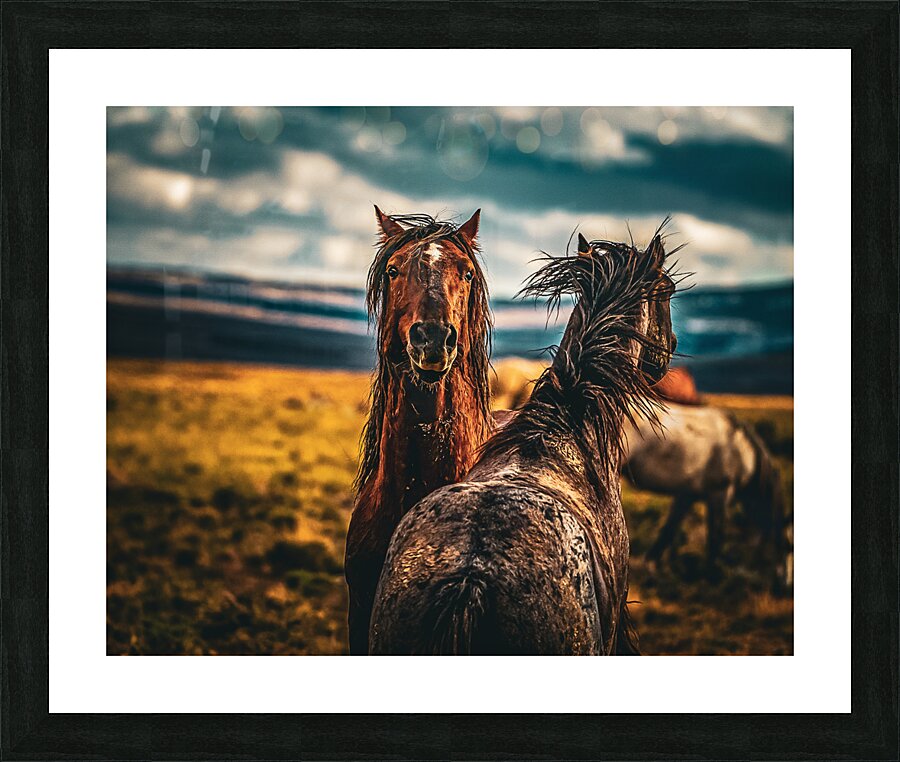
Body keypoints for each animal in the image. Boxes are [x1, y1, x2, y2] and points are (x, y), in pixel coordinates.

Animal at [622, 403, 788, 584]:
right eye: (788, 547)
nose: (784, 584)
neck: (741, 450)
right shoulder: (720, 494)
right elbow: (716, 536)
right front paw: (712, 575)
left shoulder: (687, 495)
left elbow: (670, 528)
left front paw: (651, 565)